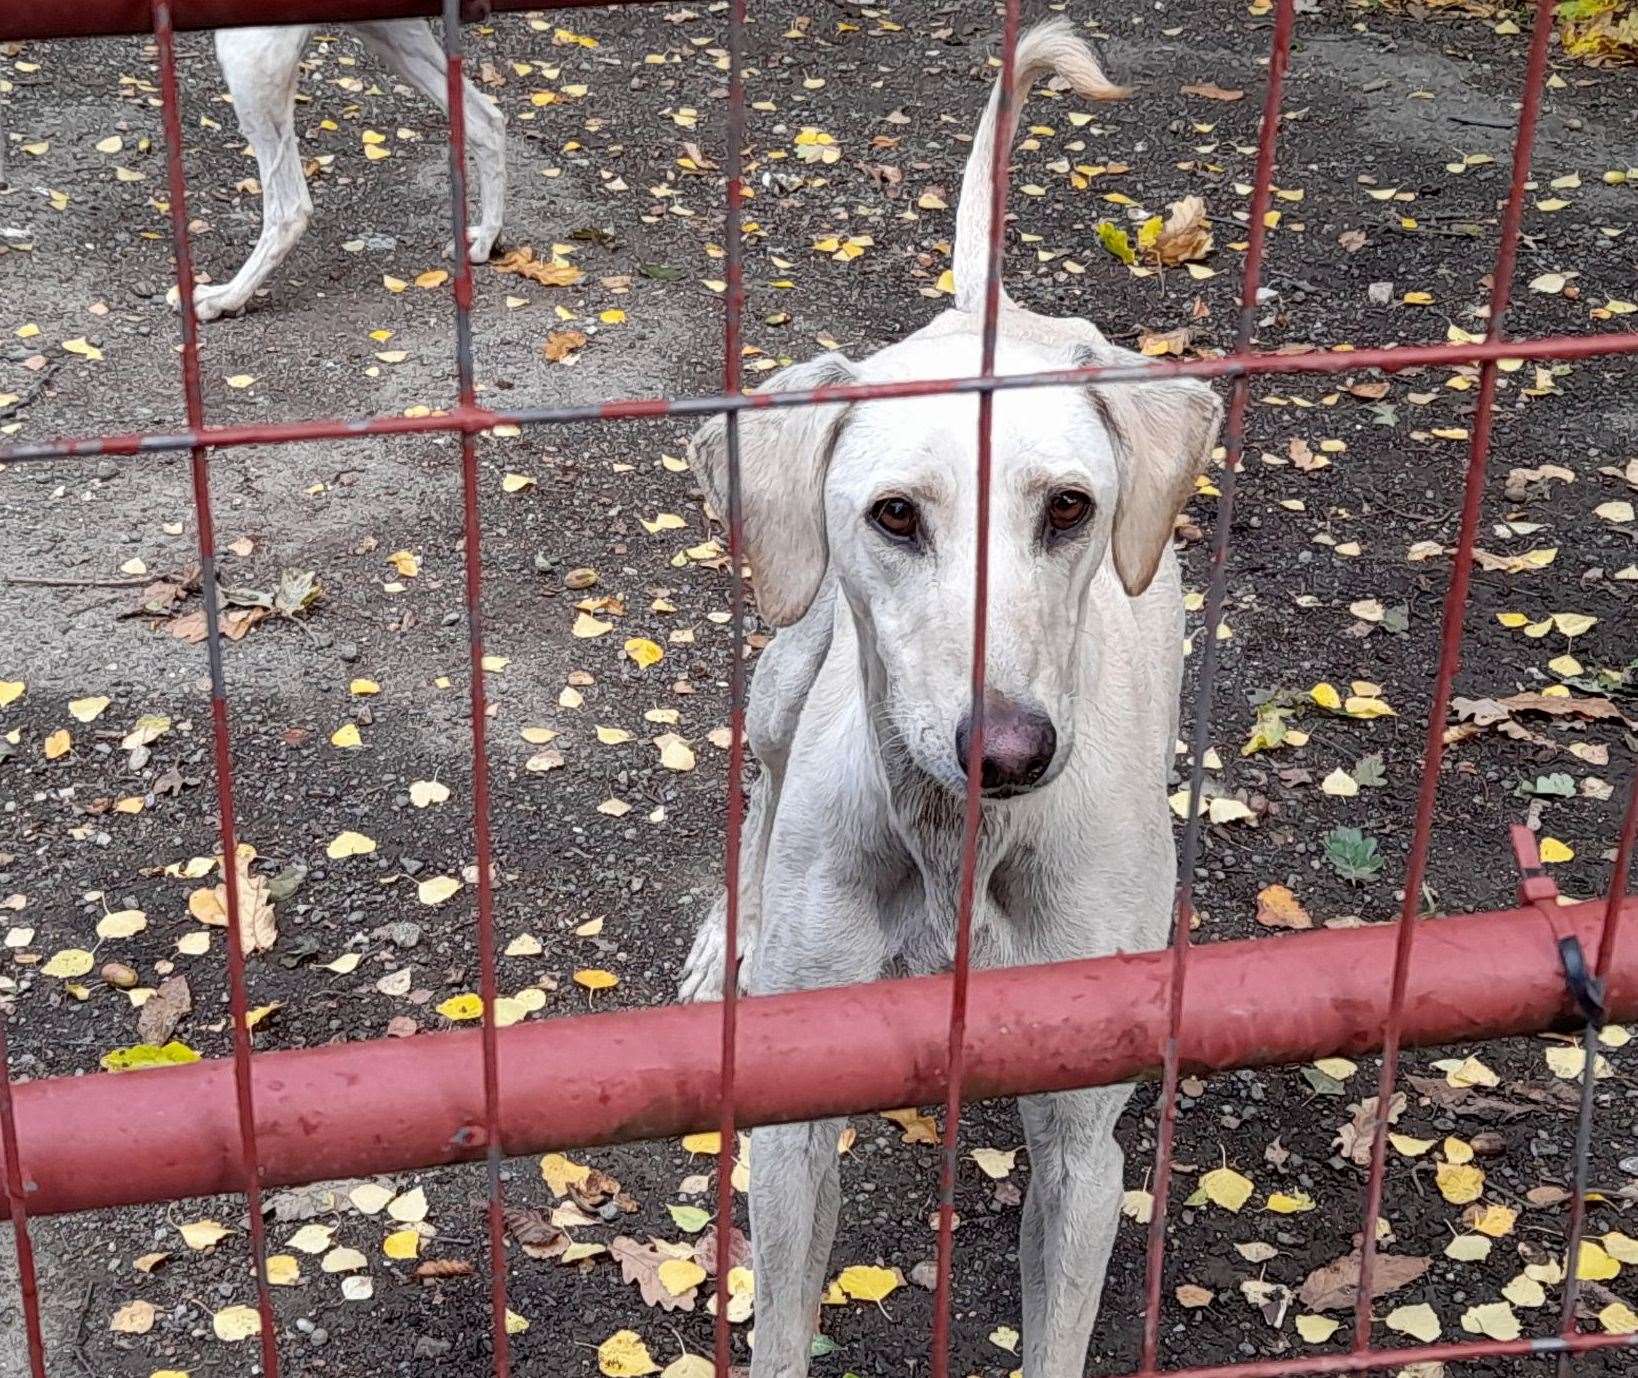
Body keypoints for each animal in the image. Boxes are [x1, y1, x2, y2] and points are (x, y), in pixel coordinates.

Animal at [190, 22, 501, 319]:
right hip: (387, 35)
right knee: (487, 122)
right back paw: (486, 237)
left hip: (247, 58)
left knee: (290, 210)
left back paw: (225, 298)